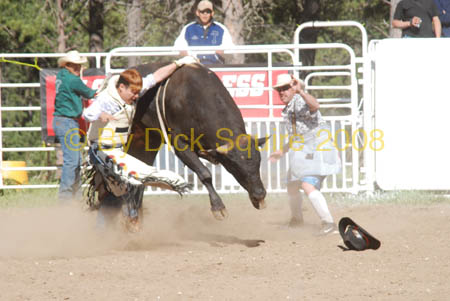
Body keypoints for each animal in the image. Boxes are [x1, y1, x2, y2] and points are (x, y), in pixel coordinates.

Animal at [126, 62, 268, 219]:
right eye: (234, 166)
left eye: (258, 162)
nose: (259, 194)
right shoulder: (179, 143)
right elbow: (205, 173)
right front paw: (218, 207)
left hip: (147, 142)